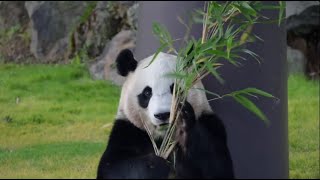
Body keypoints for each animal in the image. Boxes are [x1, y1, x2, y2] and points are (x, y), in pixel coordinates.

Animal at [96, 48, 234, 179]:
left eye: (176, 90)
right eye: (147, 93)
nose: (162, 115)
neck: (163, 137)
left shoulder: (210, 123)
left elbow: (218, 166)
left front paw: (183, 125)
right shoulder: (128, 130)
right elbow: (112, 167)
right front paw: (155, 164)